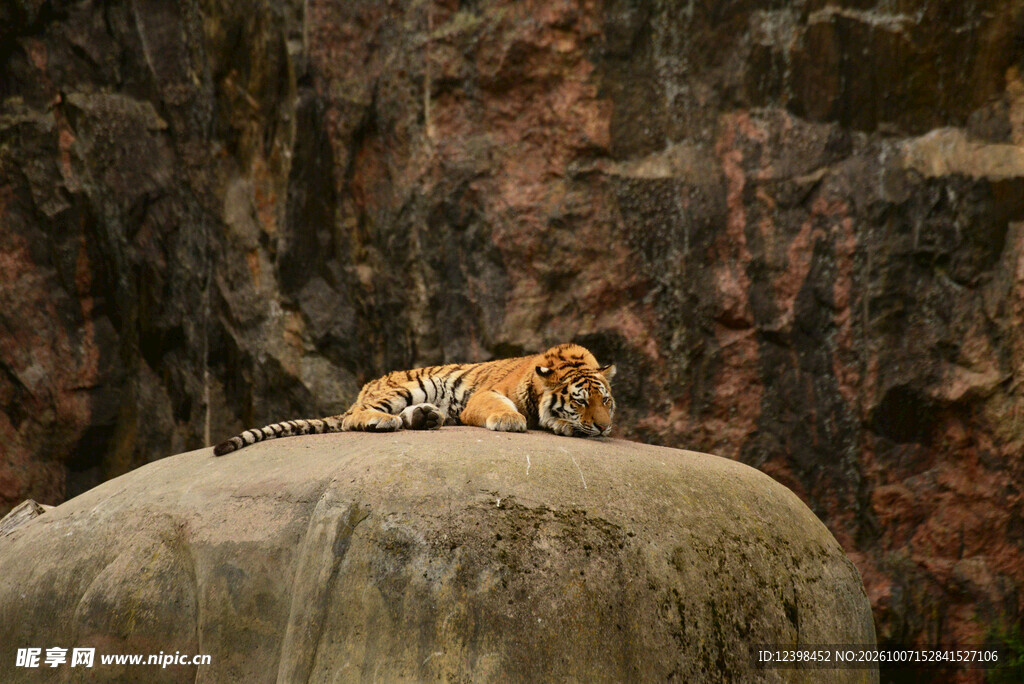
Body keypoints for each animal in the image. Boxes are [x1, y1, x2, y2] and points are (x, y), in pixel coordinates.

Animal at [213, 343, 616, 456]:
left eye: (606, 402)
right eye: (581, 401)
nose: (604, 428)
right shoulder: (484, 395)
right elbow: (500, 408)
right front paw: (511, 420)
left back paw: (426, 418)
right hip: (408, 386)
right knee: (356, 418)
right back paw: (384, 419)